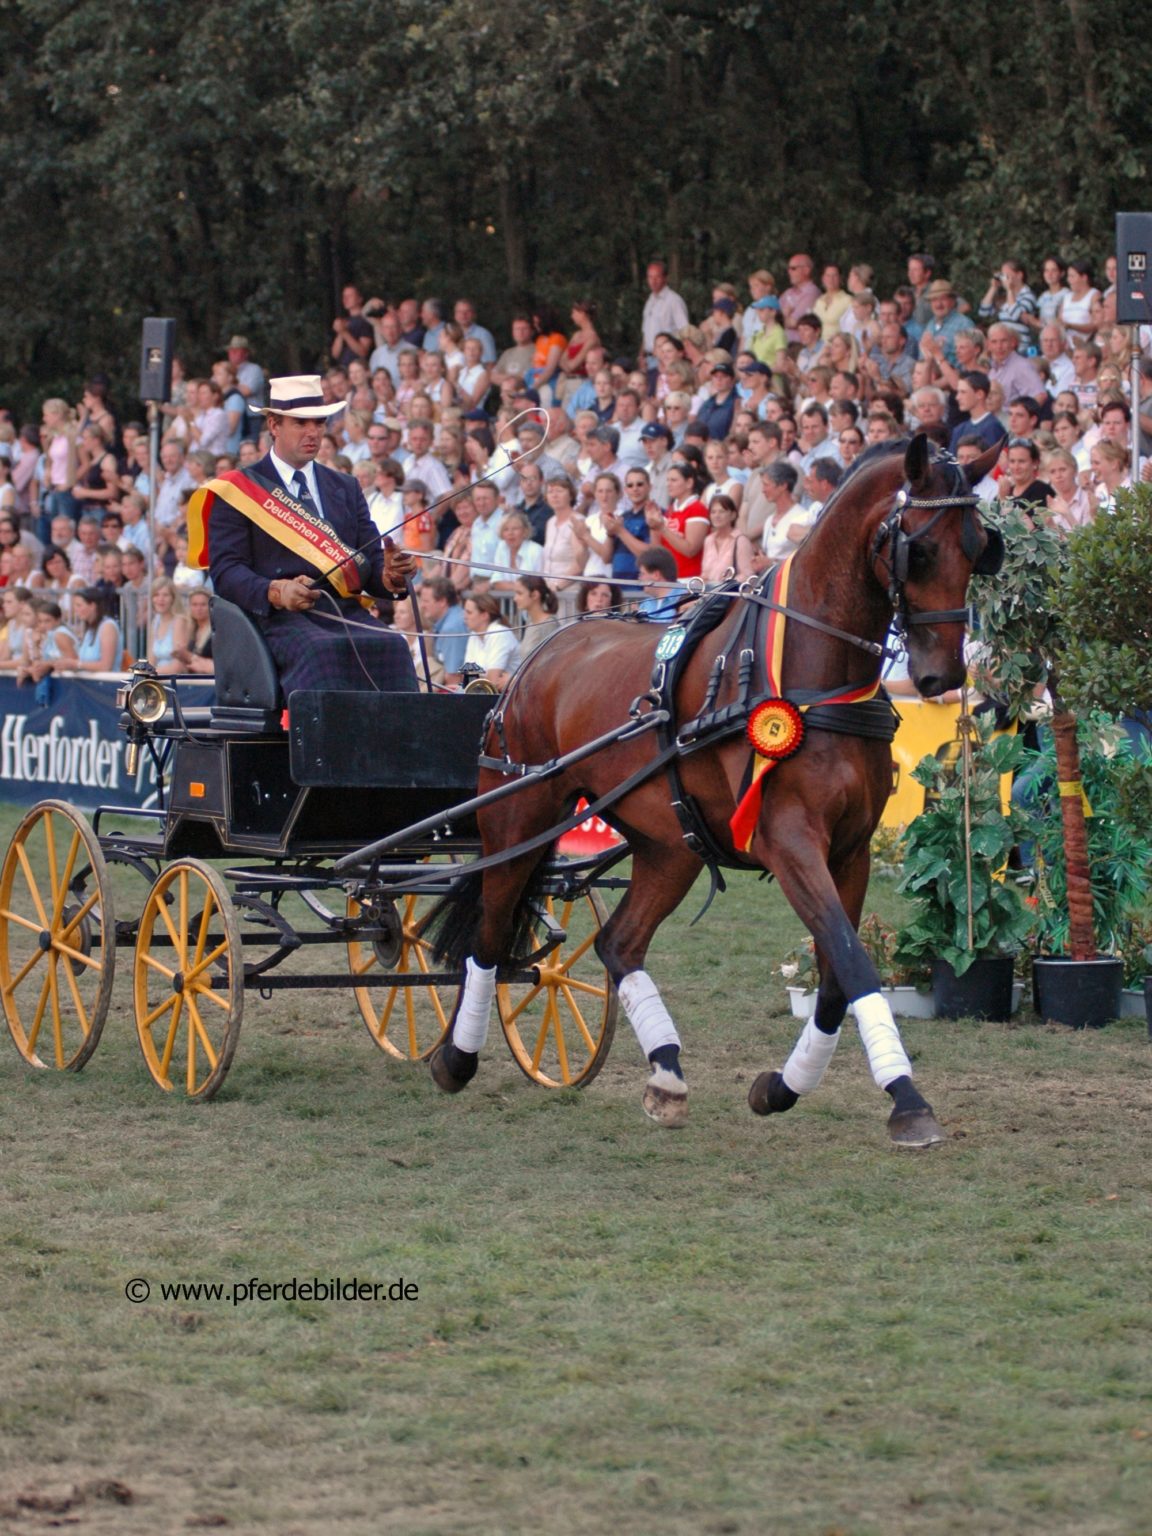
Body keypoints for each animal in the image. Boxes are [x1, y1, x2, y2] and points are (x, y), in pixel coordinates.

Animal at [430, 439, 1007, 1148]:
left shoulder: (850, 850)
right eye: (918, 550)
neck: (811, 678)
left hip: (668, 844)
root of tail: (537, 655)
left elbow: (836, 980)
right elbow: (852, 959)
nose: (942, 676)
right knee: (489, 934)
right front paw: (906, 1100)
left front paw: (782, 1087)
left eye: (980, 548)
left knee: (618, 943)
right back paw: (457, 1058)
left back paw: (666, 1073)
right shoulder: (788, 840)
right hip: (519, 816)